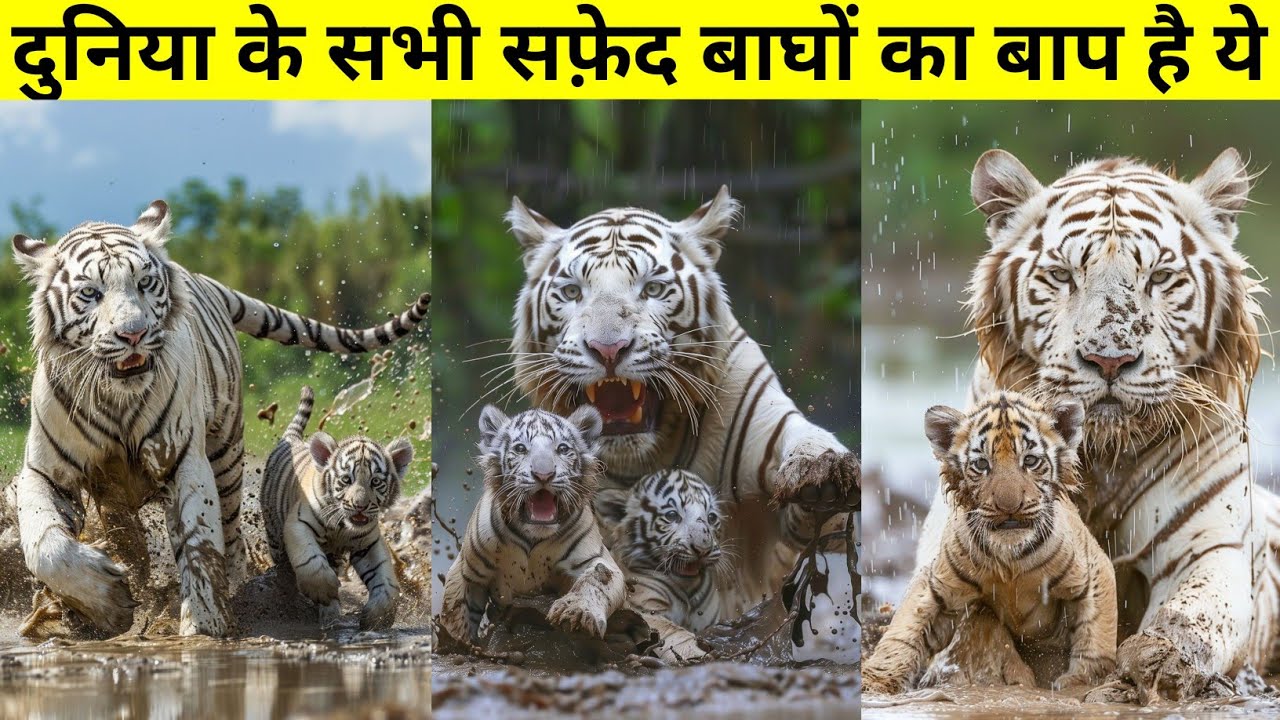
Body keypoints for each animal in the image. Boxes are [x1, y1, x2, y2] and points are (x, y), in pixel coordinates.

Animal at [261, 386, 413, 630]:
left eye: (375, 482)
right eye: (346, 479)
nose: (360, 506)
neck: (343, 527)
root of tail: (292, 439)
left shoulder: (369, 542)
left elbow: (385, 580)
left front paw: (377, 619)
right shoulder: (298, 524)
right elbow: (311, 562)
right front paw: (324, 591)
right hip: (274, 535)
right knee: (284, 562)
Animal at [438, 404, 626, 646]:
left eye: (562, 449)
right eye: (520, 448)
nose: (543, 475)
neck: (534, 537)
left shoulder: (597, 560)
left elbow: (596, 580)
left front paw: (577, 613)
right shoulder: (467, 569)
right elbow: (456, 611)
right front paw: (456, 643)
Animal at [597, 469, 726, 662]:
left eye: (711, 517)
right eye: (672, 515)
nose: (703, 549)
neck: (688, 589)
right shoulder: (645, 608)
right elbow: (674, 632)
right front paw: (697, 654)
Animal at [863, 392, 1116, 694]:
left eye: (1030, 460)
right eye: (982, 464)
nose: (1009, 507)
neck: (1010, 559)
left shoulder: (1095, 570)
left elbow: (1097, 638)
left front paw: (1081, 683)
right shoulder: (936, 582)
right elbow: (902, 634)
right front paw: (874, 683)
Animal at [908, 147, 1280, 702]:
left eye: (1159, 278)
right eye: (1063, 275)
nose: (1109, 358)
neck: (1102, 454)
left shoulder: (1209, 544)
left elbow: (1192, 615)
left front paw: (1154, 667)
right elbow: (976, 617)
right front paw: (983, 672)